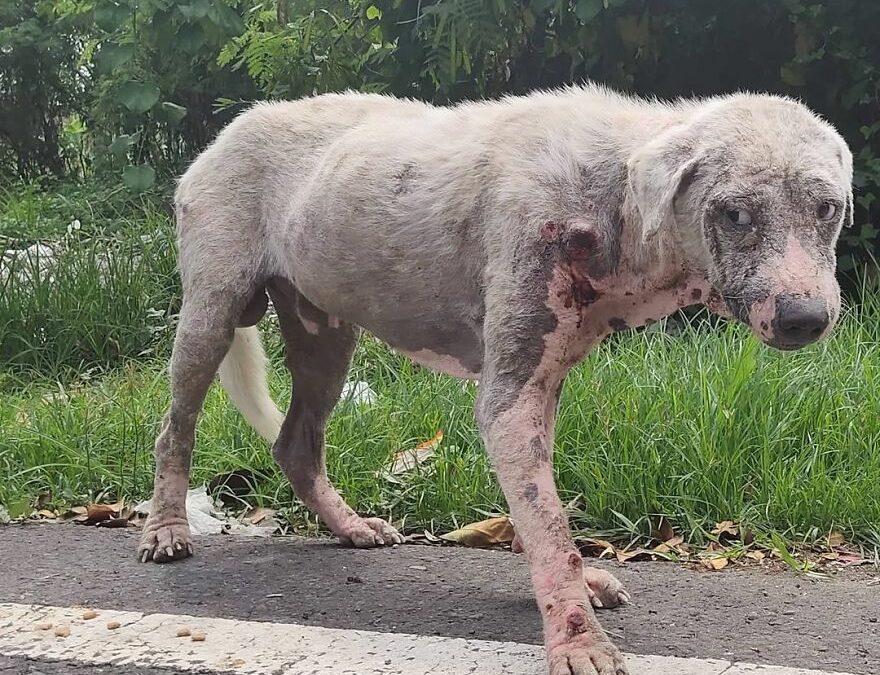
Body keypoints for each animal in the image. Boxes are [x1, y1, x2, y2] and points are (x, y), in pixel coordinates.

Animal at [139, 84, 852, 675]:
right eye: (735, 214)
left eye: (828, 209)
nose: (806, 319)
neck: (611, 199)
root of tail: (225, 134)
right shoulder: (511, 397)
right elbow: (550, 530)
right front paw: (577, 639)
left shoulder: (542, 385)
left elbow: (542, 517)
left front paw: (576, 587)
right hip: (210, 317)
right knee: (175, 428)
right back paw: (166, 530)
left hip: (325, 338)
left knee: (295, 444)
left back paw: (349, 526)